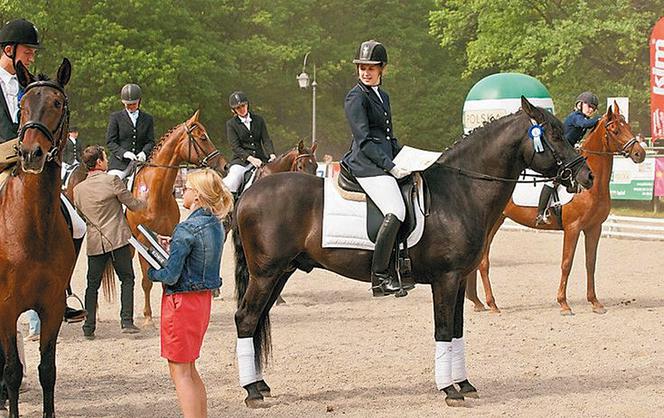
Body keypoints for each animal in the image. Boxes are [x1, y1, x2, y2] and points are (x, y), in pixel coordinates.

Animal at [232, 96, 592, 406]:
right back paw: (251, 392)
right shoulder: (446, 278)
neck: (460, 192)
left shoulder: (459, 279)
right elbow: (443, 329)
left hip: (281, 272)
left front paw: (465, 384)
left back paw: (260, 385)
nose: (586, 175)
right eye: (554, 135)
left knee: (258, 318)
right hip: (265, 273)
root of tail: (249, 194)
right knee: (246, 318)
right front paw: (449, 390)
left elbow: (458, 330)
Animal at [466, 103, 644, 316]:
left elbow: (590, 264)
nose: (640, 154)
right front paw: (563, 304)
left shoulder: (594, 228)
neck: (591, 187)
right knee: (483, 260)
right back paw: (491, 303)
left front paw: (595, 302)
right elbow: (566, 264)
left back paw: (477, 302)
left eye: (629, 127)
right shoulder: (573, 228)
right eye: (616, 130)